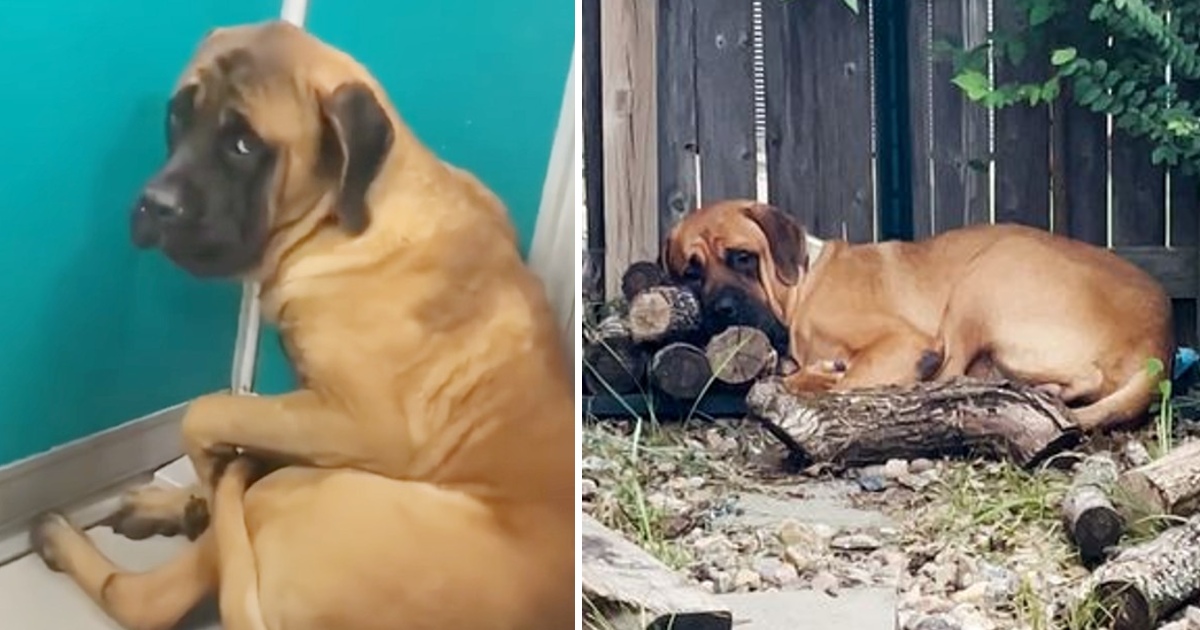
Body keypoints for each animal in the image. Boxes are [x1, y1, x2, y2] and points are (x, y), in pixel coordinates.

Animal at [28, 19, 571, 628]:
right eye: (177, 117)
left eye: (243, 145)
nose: (154, 204)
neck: (346, 219)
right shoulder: (309, 411)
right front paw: (197, 489)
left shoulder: (359, 423)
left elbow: (204, 411)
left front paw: (206, 472)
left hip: (302, 487)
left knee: (151, 597)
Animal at [662, 199, 1176, 429]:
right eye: (691, 273)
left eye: (742, 257)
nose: (723, 310)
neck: (802, 286)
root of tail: (1160, 346)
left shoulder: (903, 342)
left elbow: (844, 381)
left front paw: (825, 376)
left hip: (988, 272)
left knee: (950, 370)